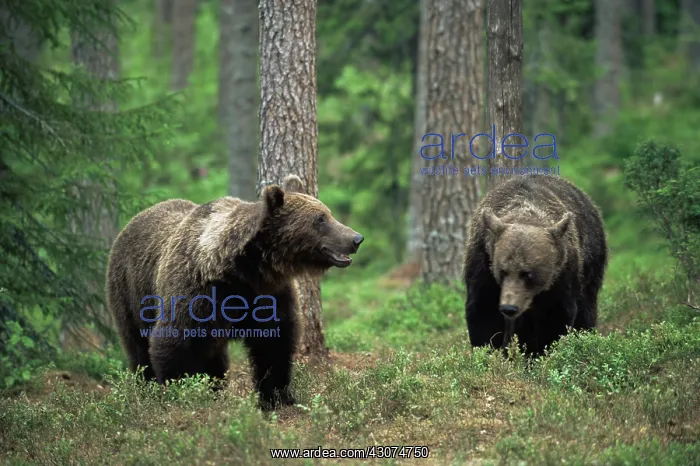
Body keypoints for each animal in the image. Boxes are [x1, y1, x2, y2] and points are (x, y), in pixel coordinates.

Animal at [106, 175, 364, 408]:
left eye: (328, 213)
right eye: (320, 219)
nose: (356, 238)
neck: (245, 270)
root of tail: (131, 223)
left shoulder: (268, 295)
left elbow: (275, 343)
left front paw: (278, 397)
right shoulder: (197, 293)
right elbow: (174, 342)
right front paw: (183, 395)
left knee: (215, 358)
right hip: (130, 293)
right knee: (138, 347)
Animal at [463, 175, 607, 355]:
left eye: (528, 273)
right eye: (502, 271)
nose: (509, 307)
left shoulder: (562, 275)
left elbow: (555, 317)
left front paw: (542, 353)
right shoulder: (483, 263)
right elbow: (483, 313)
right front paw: (488, 351)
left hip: (591, 264)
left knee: (586, 309)